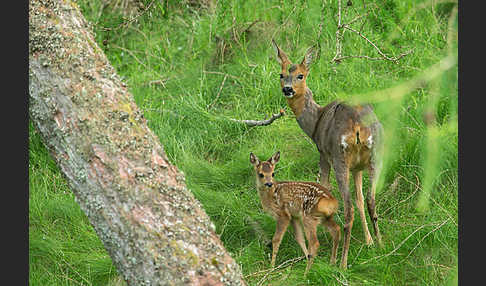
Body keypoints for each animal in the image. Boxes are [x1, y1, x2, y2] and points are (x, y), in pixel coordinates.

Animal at [274, 39, 384, 268]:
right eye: (281, 74)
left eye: (301, 75)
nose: (287, 89)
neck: (315, 121)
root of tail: (357, 125)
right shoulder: (357, 168)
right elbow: (360, 199)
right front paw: (369, 241)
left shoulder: (322, 154)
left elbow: (324, 185)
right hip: (376, 154)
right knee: (370, 200)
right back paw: (380, 244)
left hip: (339, 157)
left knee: (348, 208)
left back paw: (342, 262)